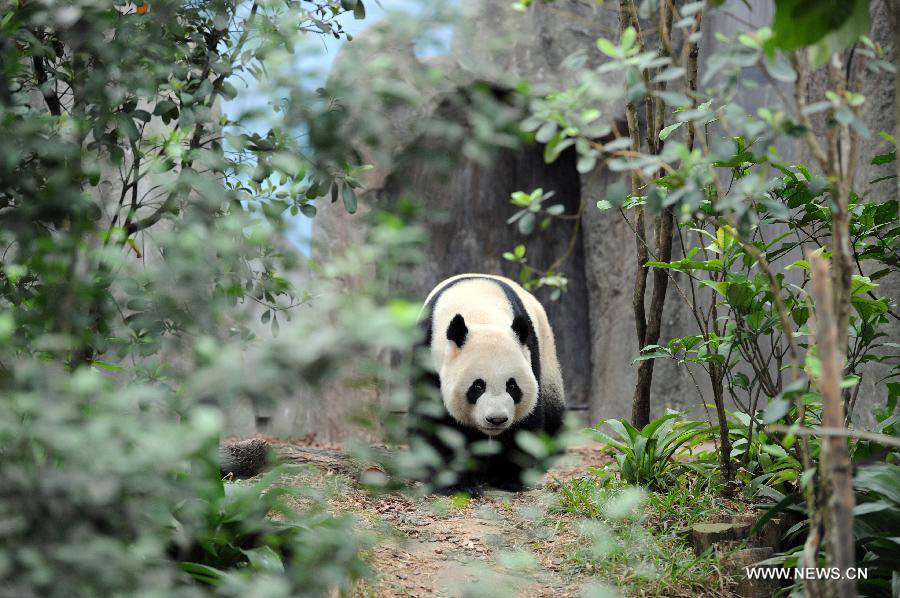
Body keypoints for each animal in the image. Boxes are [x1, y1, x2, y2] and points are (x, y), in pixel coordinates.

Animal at [412, 274, 568, 494]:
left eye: (512, 386)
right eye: (478, 386)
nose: (497, 420)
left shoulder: (529, 353)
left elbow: (525, 421)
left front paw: (508, 478)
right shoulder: (428, 355)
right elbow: (437, 421)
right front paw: (458, 484)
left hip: (548, 357)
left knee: (553, 418)